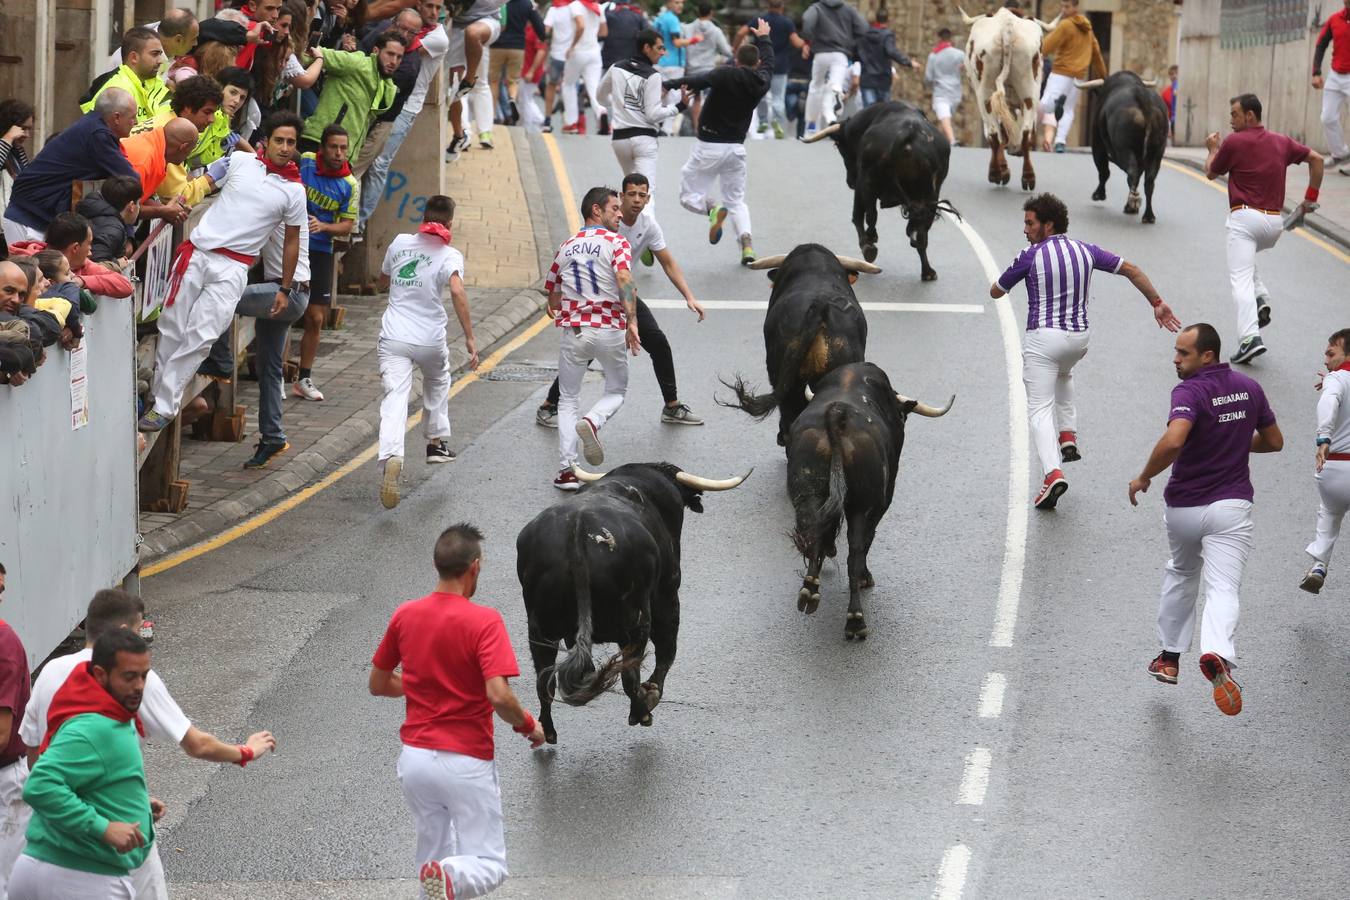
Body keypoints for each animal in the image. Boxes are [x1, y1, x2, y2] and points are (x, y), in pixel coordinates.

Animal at [515, 461, 750, 744]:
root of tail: (578, 531)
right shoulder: (667, 590)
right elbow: (667, 650)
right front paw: (651, 693)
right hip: (636, 619)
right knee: (633, 670)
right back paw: (642, 711)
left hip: (540, 629)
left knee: (544, 680)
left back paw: (547, 731)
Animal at [788, 364, 955, 639]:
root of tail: (837, 414)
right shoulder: (881, 501)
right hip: (862, 507)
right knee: (855, 551)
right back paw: (856, 619)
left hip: (807, 494)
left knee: (815, 533)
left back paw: (810, 591)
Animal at [804, 99, 955, 283]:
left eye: (838, 145)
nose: (849, 181)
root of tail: (907, 133)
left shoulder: (861, 184)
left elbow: (858, 216)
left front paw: (868, 243)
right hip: (930, 195)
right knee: (921, 233)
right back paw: (927, 272)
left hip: (867, 182)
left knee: (868, 216)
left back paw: (869, 245)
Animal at [1080, 70, 1166, 223]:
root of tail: (1143, 99)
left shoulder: (1098, 146)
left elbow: (1104, 171)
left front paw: (1099, 194)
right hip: (1157, 153)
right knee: (1148, 181)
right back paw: (1148, 215)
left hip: (1124, 149)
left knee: (1131, 173)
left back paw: (1132, 203)